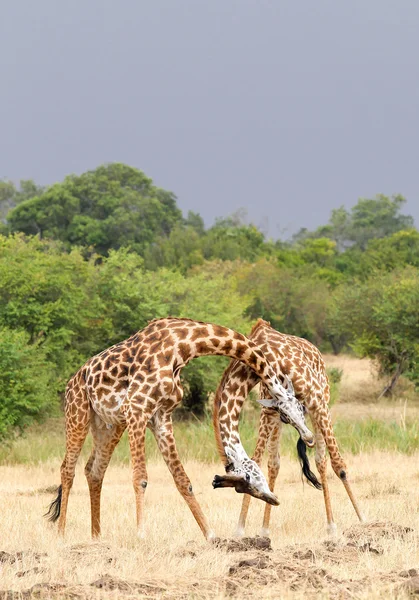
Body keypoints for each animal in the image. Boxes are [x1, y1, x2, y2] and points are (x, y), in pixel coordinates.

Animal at [46, 316, 316, 540]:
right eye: (284, 414)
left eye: (300, 409)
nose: (310, 437)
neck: (182, 347)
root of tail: (72, 381)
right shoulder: (137, 409)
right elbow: (140, 478)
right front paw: (141, 535)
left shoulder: (161, 416)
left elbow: (182, 480)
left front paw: (211, 536)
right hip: (78, 413)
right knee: (67, 469)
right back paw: (60, 535)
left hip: (108, 425)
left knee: (94, 470)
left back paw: (96, 537)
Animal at [213, 318, 364, 536]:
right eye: (239, 486)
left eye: (248, 479)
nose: (273, 500)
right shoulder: (269, 412)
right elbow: (261, 459)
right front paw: (240, 529)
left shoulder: (315, 400)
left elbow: (339, 465)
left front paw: (363, 520)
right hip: (279, 420)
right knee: (275, 463)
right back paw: (265, 529)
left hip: (322, 404)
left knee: (322, 460)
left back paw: (332, 526)